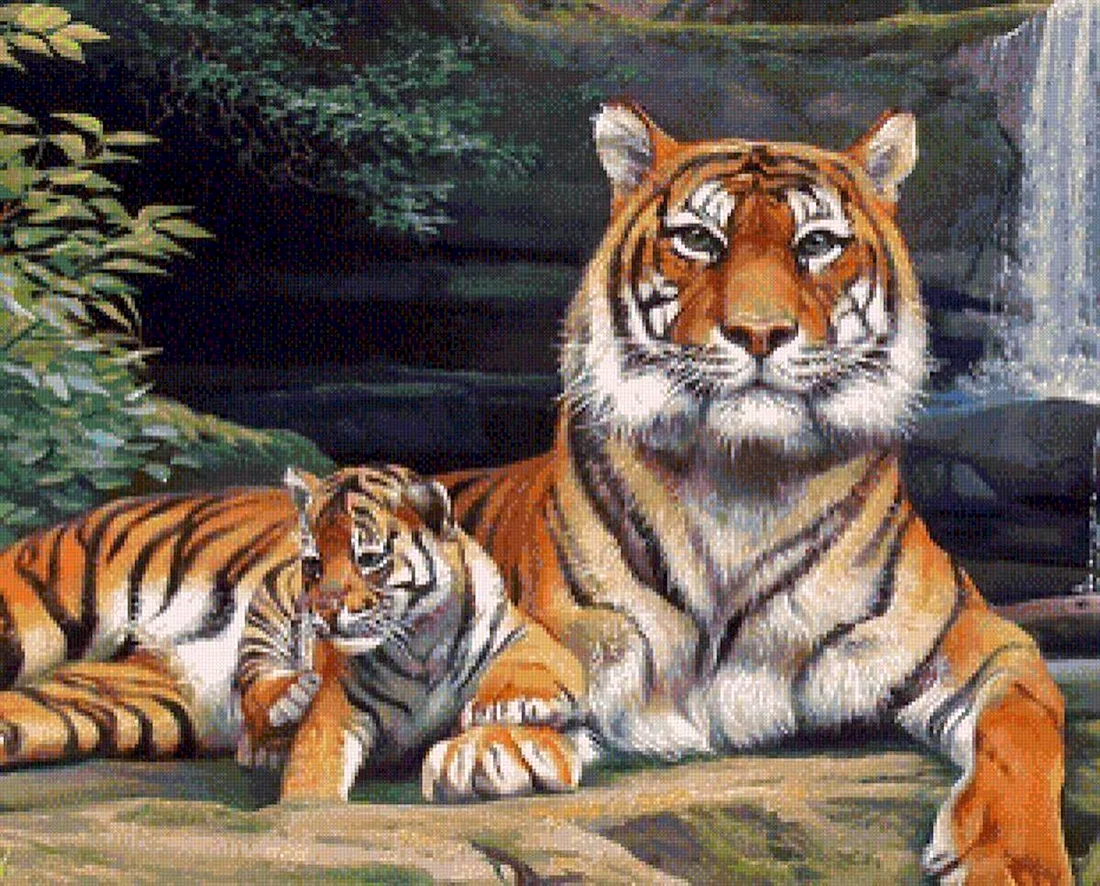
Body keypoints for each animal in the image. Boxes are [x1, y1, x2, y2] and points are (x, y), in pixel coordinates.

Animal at [0, 465, 583, 803]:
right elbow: (315, 776)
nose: (322, 614)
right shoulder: (336, 703)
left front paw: (513, 712)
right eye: (314, 563)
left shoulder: (523, 634)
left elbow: (547, 661)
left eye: (369, 559)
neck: (420, 643)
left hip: (119, 701)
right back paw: (277, 713)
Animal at [437, 103, 1072, 883]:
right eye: (699, 240)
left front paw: (1013, 860)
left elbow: (1023, 722)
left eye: (817, 244)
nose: (759, 331)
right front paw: (495, 744)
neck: (741, 483)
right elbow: (530, 665)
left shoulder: (977, 637)